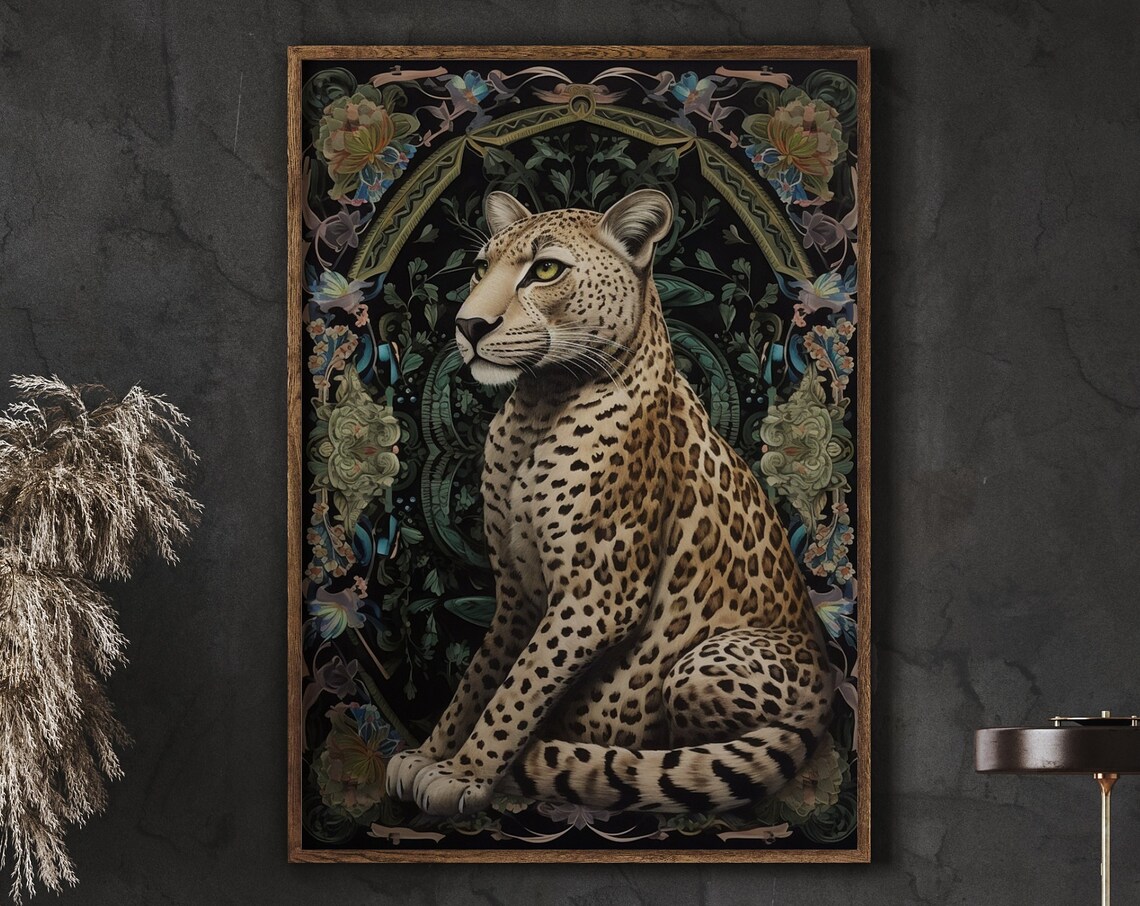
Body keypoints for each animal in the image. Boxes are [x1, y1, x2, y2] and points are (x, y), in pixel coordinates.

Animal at [386, 187, 835, 818]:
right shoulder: (517, 590)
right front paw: (431, 754)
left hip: (703, 664)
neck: (537, 406)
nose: (468, 324)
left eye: (546, 270)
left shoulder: (597, 596)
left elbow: (518, 690)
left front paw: (466, 774)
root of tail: (827, 693)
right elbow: (482, 677)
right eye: (481, 267)